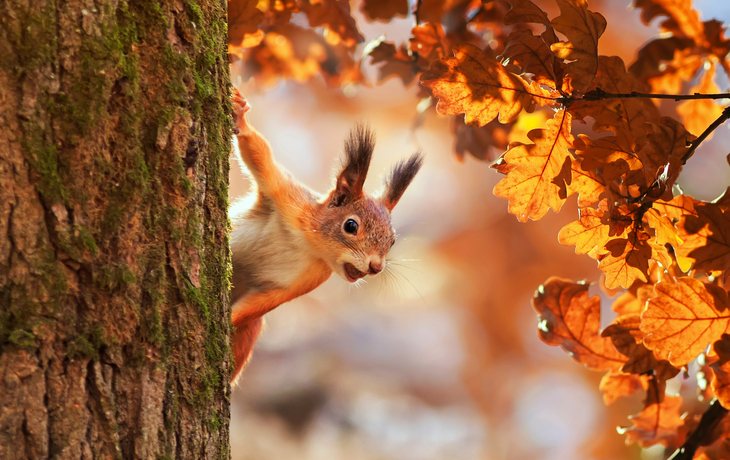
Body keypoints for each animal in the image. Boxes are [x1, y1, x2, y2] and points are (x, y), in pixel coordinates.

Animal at [229, 88, 423, 384]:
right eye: (351, 226)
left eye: (392, 241)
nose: (376, 267)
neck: (308, 243)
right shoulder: (288, 197)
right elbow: (259, 154)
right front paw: (241, 116)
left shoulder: (307, 279)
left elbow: (259, 305)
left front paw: (226, 319)